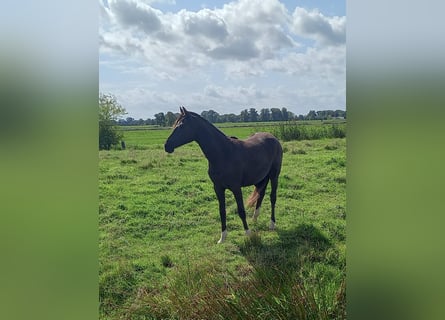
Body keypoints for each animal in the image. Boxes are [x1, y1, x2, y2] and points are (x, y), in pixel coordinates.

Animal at [163, 106, 280, 244]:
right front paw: (222, 237)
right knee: (260, 195)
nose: (167, 146)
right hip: (262, 178)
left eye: (181, 126)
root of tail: (273, 138)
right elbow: (222, 211)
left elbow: (241, 210)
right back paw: (255, 220)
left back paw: (272, 224)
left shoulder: (236, 188)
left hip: (274, 176)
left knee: (272, 197)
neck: (223, 153)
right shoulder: (218, 188)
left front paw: (248, 234)